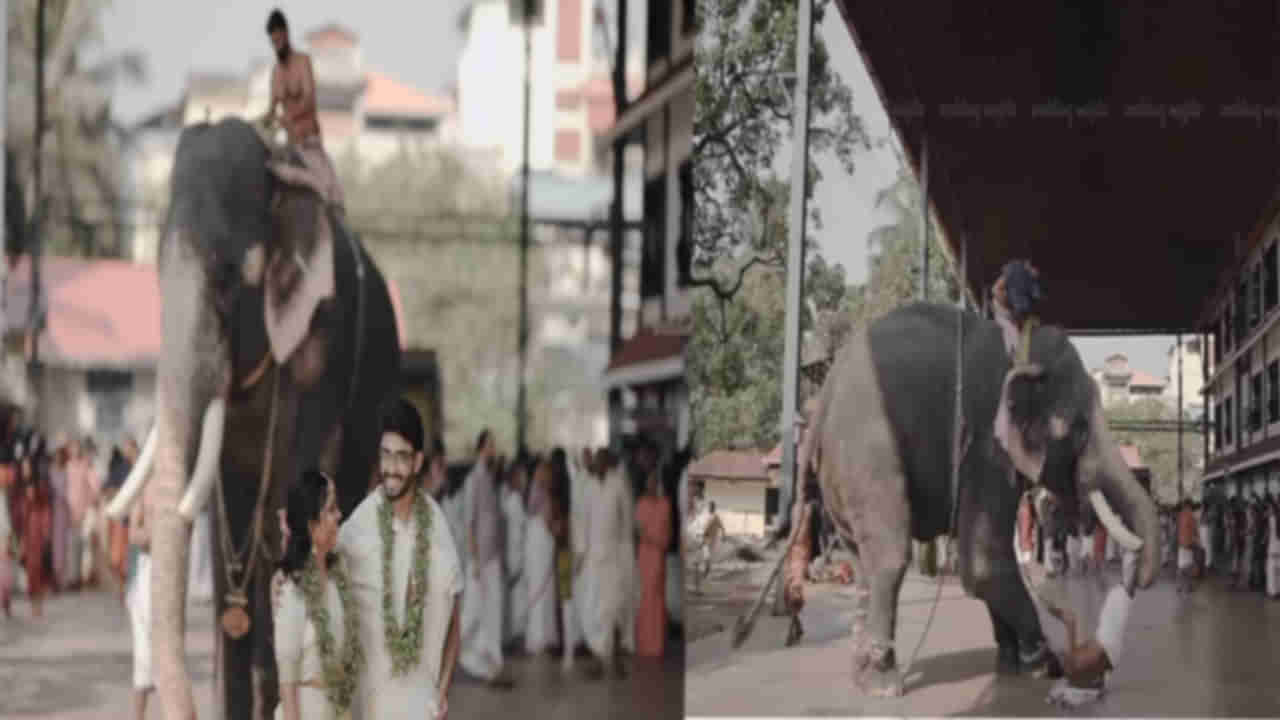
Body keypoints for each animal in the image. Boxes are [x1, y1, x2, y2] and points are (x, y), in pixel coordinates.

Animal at [778, 301, 1162, 696]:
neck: (1019, 347)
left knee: (860, 561)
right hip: (869, 455)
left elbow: (983, 559)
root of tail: (824, 394)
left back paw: (862, 678)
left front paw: (1011, 661)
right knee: (889, 557)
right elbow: (983, 563)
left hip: (840, 476)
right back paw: (885, 683)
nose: (1134, 583)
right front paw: (1044, 663)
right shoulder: (986, 445)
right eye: (1081, 427)